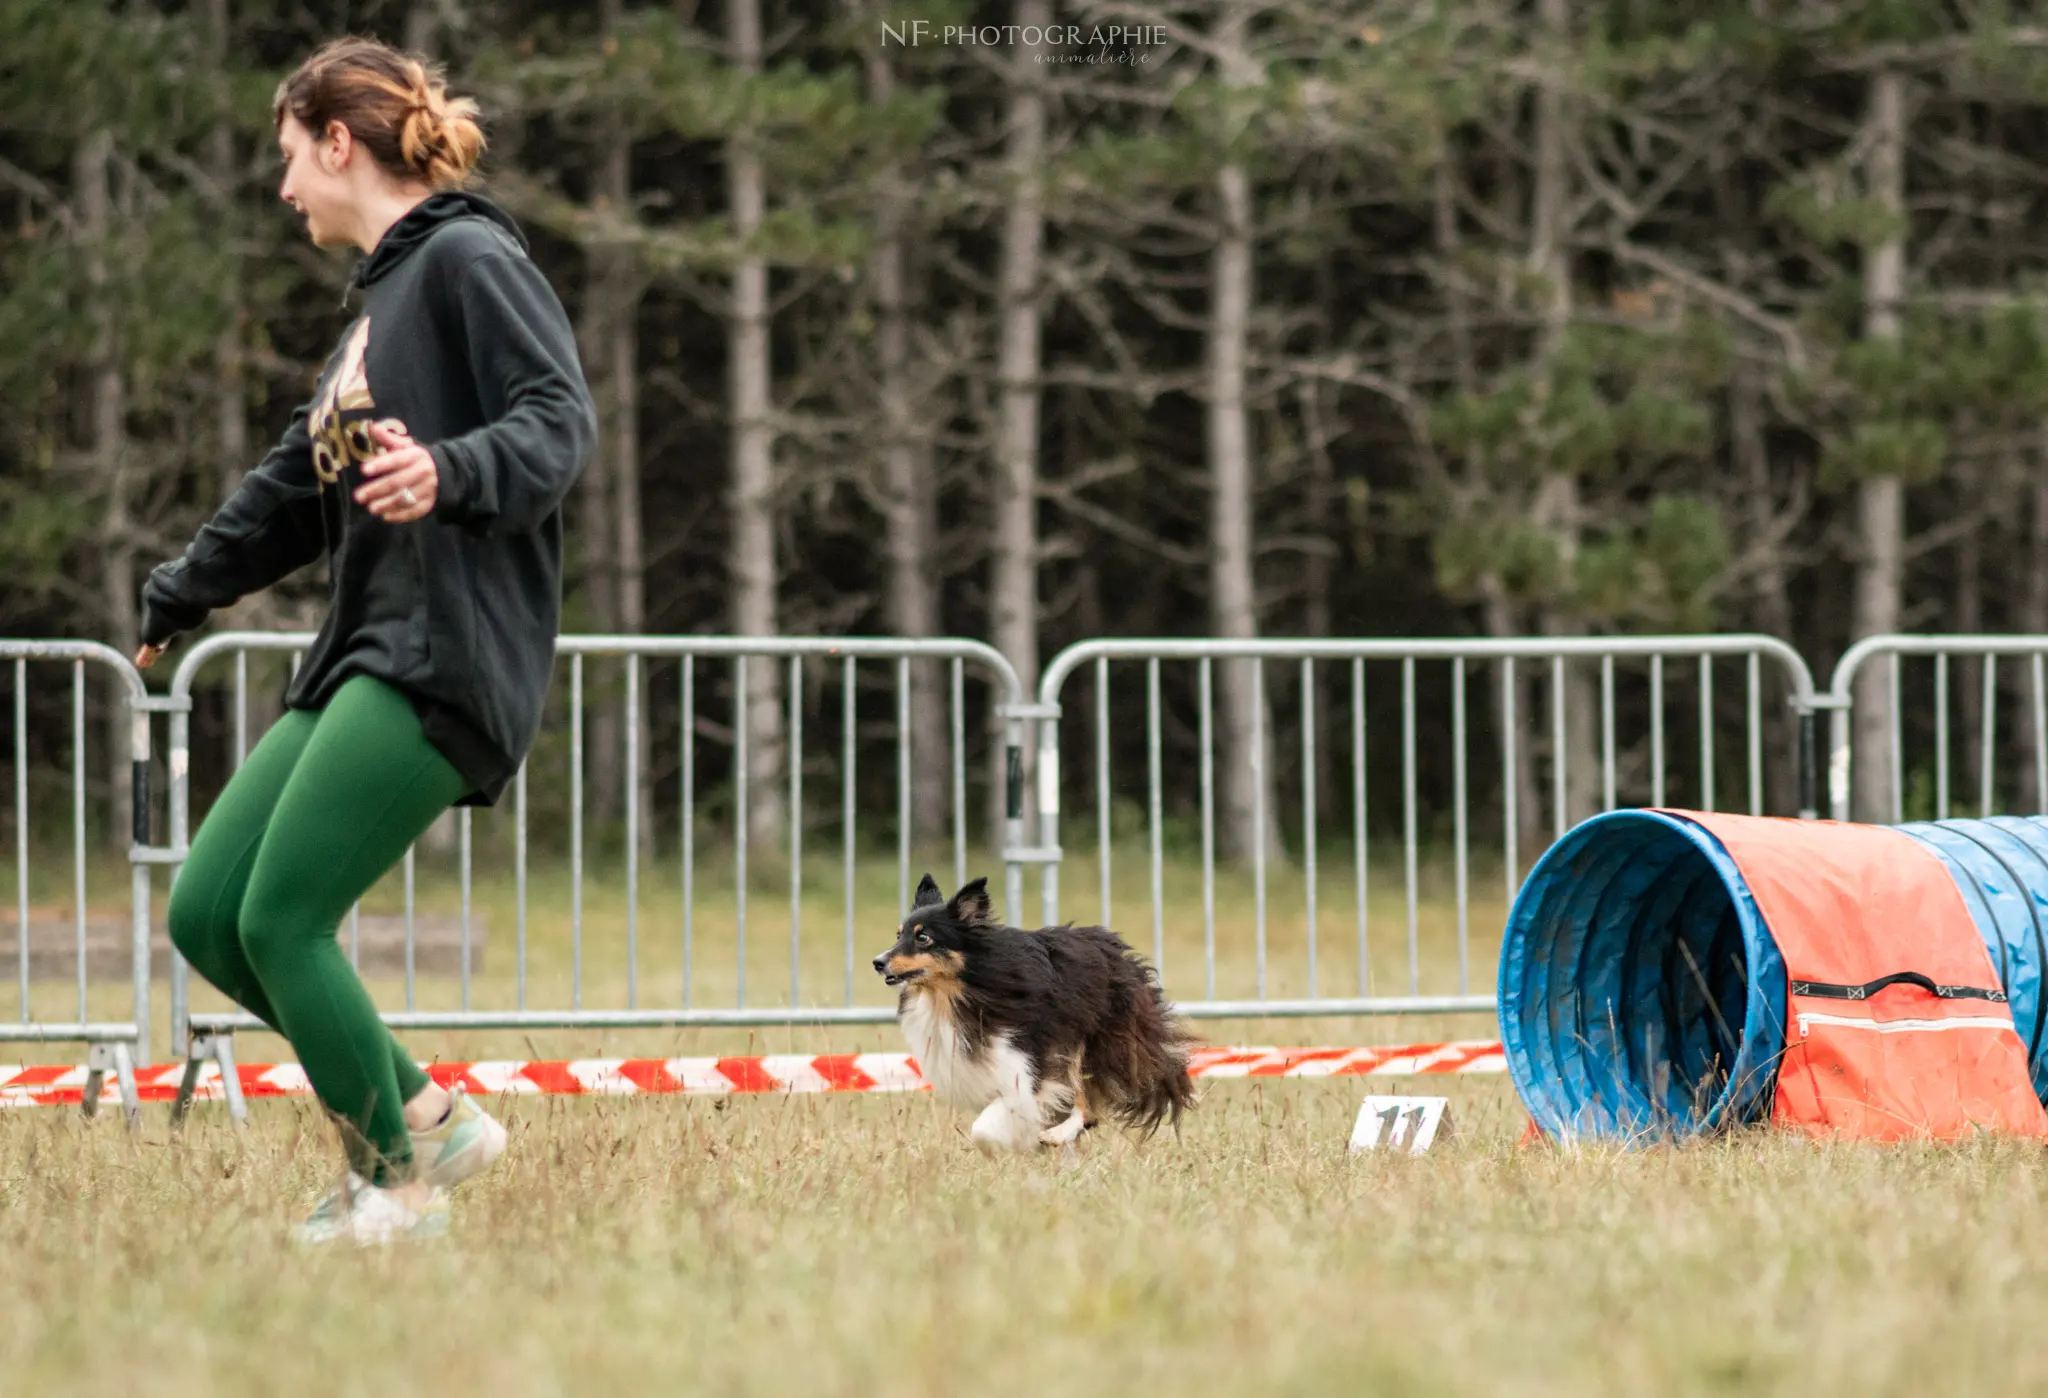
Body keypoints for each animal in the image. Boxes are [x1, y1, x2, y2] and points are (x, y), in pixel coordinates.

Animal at [868, 876, 1196, 1146]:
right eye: (898, 935)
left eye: (923, 937)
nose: (877, 962)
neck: (966, 988)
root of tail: (1121, 952)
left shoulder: (1027, 1060)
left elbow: (986, 1128)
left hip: (1094, 1041)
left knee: (1087, 1105)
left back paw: (1056, 1135)